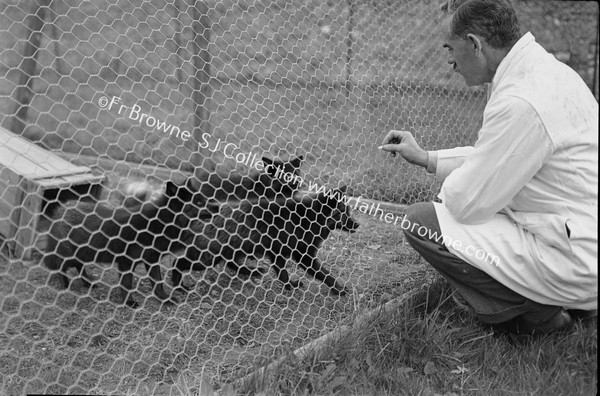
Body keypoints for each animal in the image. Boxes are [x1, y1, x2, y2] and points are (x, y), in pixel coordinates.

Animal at [173, 187, 360, 296]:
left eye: (349, 211)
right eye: (344, 212)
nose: (357, 224)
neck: (308, 219)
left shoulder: (278, 253)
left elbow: (282, 273)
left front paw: (289, 286)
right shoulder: (301, 255)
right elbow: (324, 274)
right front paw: (338, 289)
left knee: (232, 264)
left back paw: (253, 271)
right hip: (206, 258)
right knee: (177, 263)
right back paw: (178, 286)